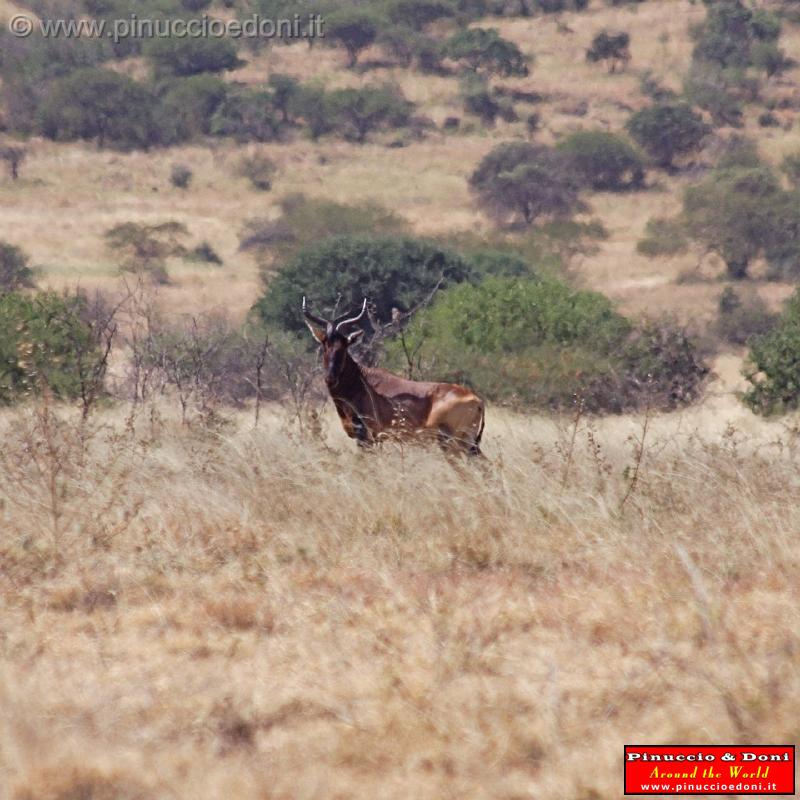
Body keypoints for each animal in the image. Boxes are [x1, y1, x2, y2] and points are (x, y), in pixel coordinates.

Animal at [302, 296, 484, 456]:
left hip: (452, 442)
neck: (361, 381)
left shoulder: (366, 437)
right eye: (325, 345)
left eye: (343, 346)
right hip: (469, 445)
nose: (330, 378)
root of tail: (477, 400)